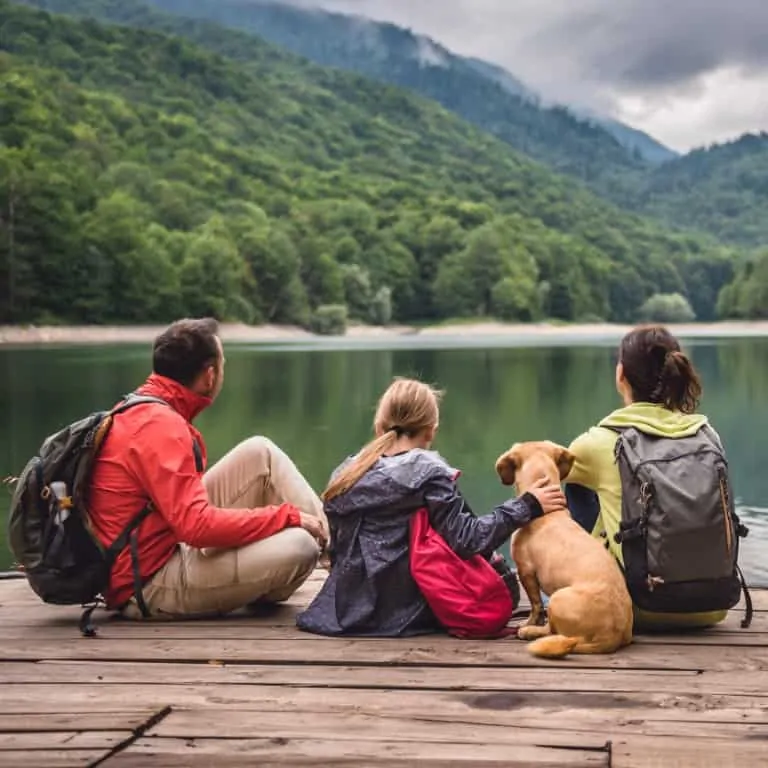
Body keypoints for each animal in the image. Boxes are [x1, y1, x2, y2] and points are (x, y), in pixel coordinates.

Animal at [496, 440, 632, 656]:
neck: (548, 512)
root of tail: (611, 636)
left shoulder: (526, 571)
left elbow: (535, 605)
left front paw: (528, 623)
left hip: (557, 599)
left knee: (551, 630)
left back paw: (529, 631)